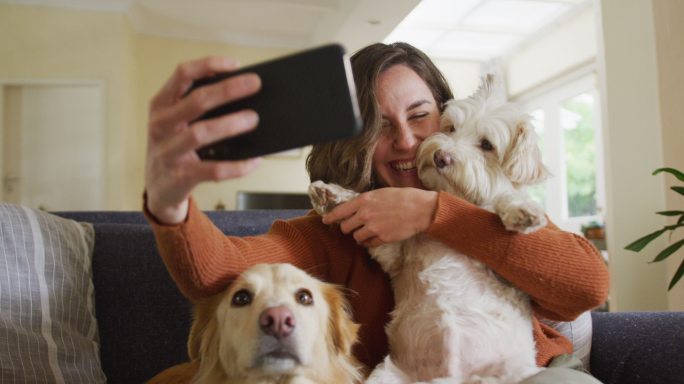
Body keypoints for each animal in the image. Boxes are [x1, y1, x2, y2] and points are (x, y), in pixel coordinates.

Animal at [310, 75, 552, 384]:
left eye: (487, 145)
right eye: (451, 128)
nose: (441, 157)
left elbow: (502, 201)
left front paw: (522, 210)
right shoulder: (394, 253)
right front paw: (332, 194)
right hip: (387, 375)